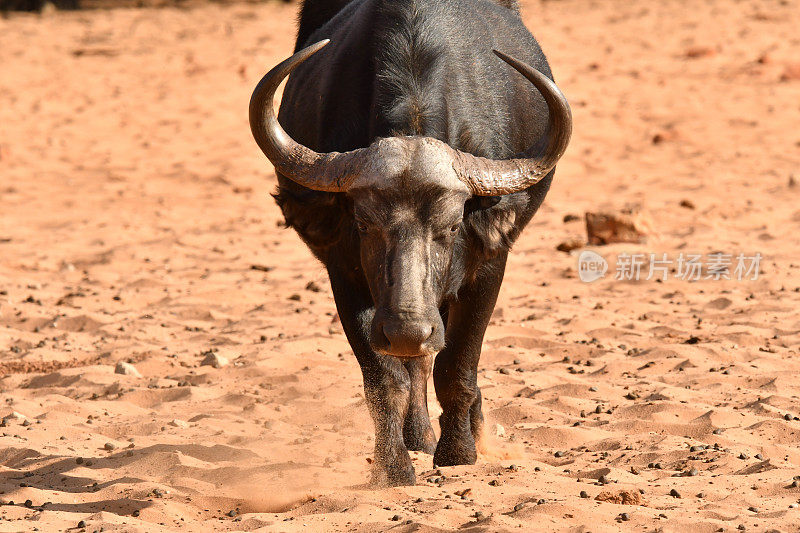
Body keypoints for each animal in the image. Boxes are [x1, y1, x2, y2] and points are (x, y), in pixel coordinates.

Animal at [248, 0, 568, 484]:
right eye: (364, 224)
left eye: (451, 226)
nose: (406, 329)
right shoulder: (346, 276)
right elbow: (385, 378)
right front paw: (393, 466)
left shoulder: (489, 265)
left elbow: (457, 366)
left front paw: (459, 451)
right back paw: (418, 435)